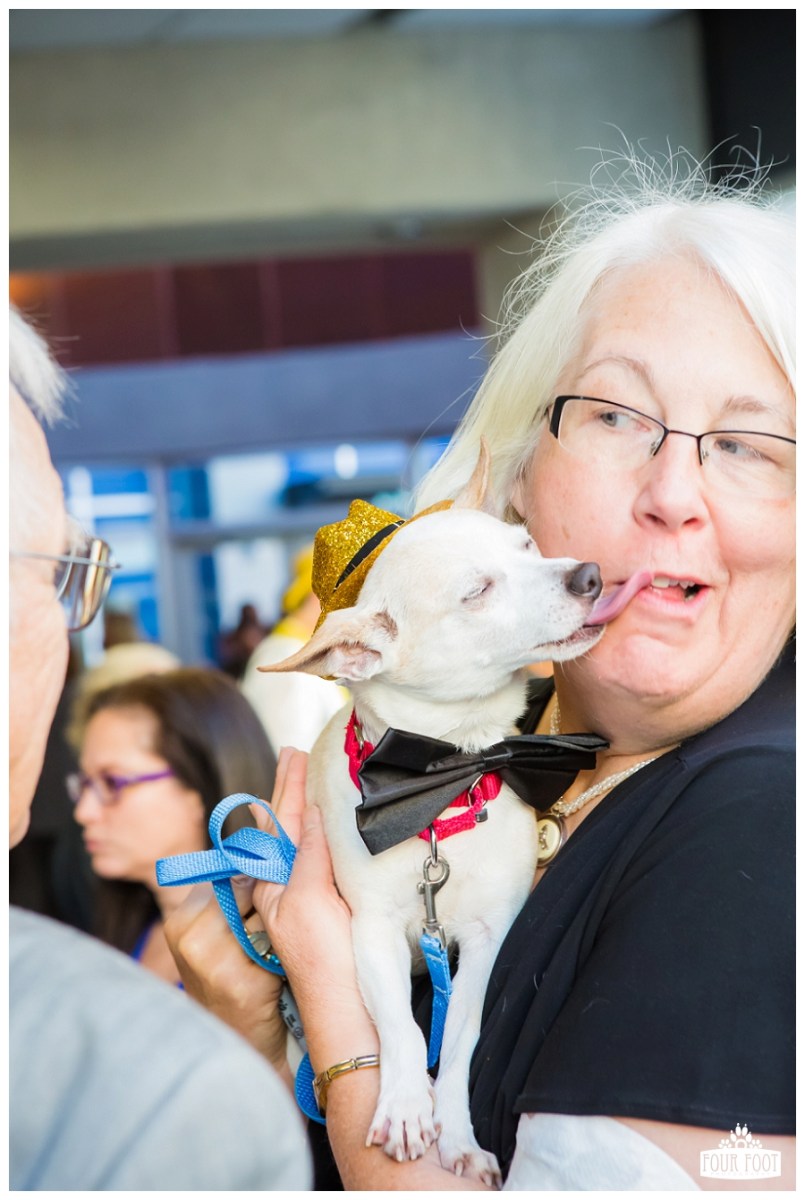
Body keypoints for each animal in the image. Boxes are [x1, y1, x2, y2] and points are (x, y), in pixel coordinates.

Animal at [260, 444, 620, 1183]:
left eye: (528, 546)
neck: (443, 785)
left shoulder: (486, 941)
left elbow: (459, 1041)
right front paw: (403, 1103)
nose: (588, 573)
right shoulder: (368, 932)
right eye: (477, 591)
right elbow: (399, 1027)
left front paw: (455, 1133)